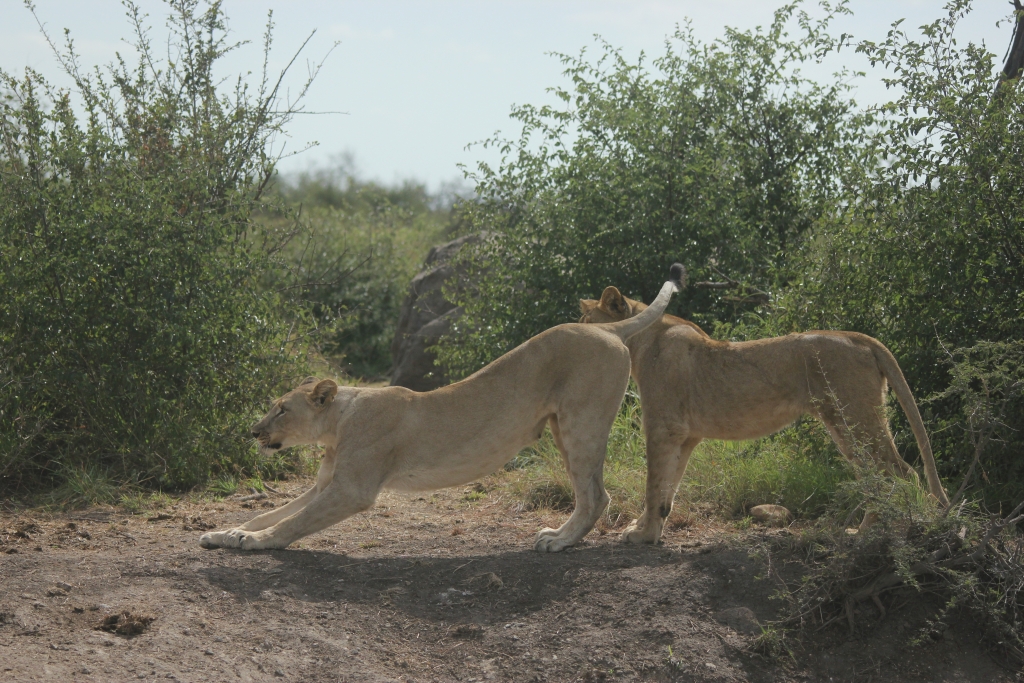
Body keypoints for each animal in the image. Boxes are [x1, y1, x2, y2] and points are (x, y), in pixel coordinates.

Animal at [199, 265, 685, 552]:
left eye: (281, 409)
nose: (253, 431)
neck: (337, 423)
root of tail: (611, 329)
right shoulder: (325, 485)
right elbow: (273, 512)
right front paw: (227, 532)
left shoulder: (353, 489)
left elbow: (292, 524)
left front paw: (253, 541)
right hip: (562, 427)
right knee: (591, 493)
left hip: (580, 422)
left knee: (596, 494)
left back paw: (559, 541)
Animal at [579, 285, 950, 544]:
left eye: (585, 323)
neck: (639, 340)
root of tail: (860, 337)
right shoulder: (686, 435)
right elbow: (668, 487)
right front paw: (647, 528)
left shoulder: (662, 427)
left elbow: (654, 485)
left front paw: (643, 536)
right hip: (847, 424)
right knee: (878, 474)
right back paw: (863, 530)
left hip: (853, 418)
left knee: (900, 473)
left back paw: (877, 531)